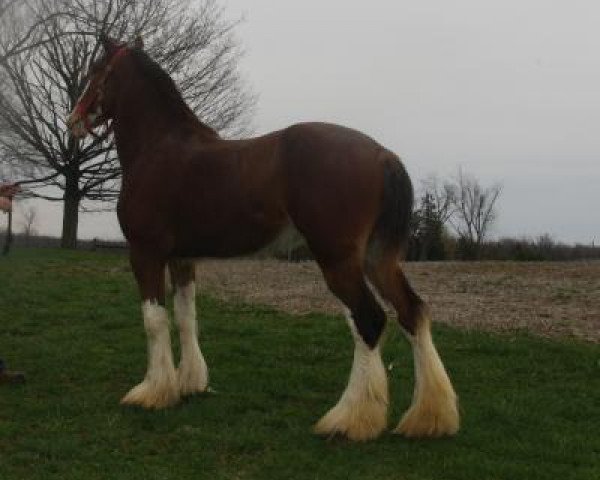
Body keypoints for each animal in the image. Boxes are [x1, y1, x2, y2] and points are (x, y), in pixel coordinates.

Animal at [67, 35, 460, 440]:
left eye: (96, 69)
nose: (74, 120)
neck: (160, 147)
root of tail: (382, 154)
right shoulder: (182, 259)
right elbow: (186, 317)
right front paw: (189, 382)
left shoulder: (145, 253)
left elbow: (154, 320)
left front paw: (153, 392)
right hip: (378, 258)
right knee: (412, 312)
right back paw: (428, 416)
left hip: (338, 260)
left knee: (369, 320)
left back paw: (349, 420)